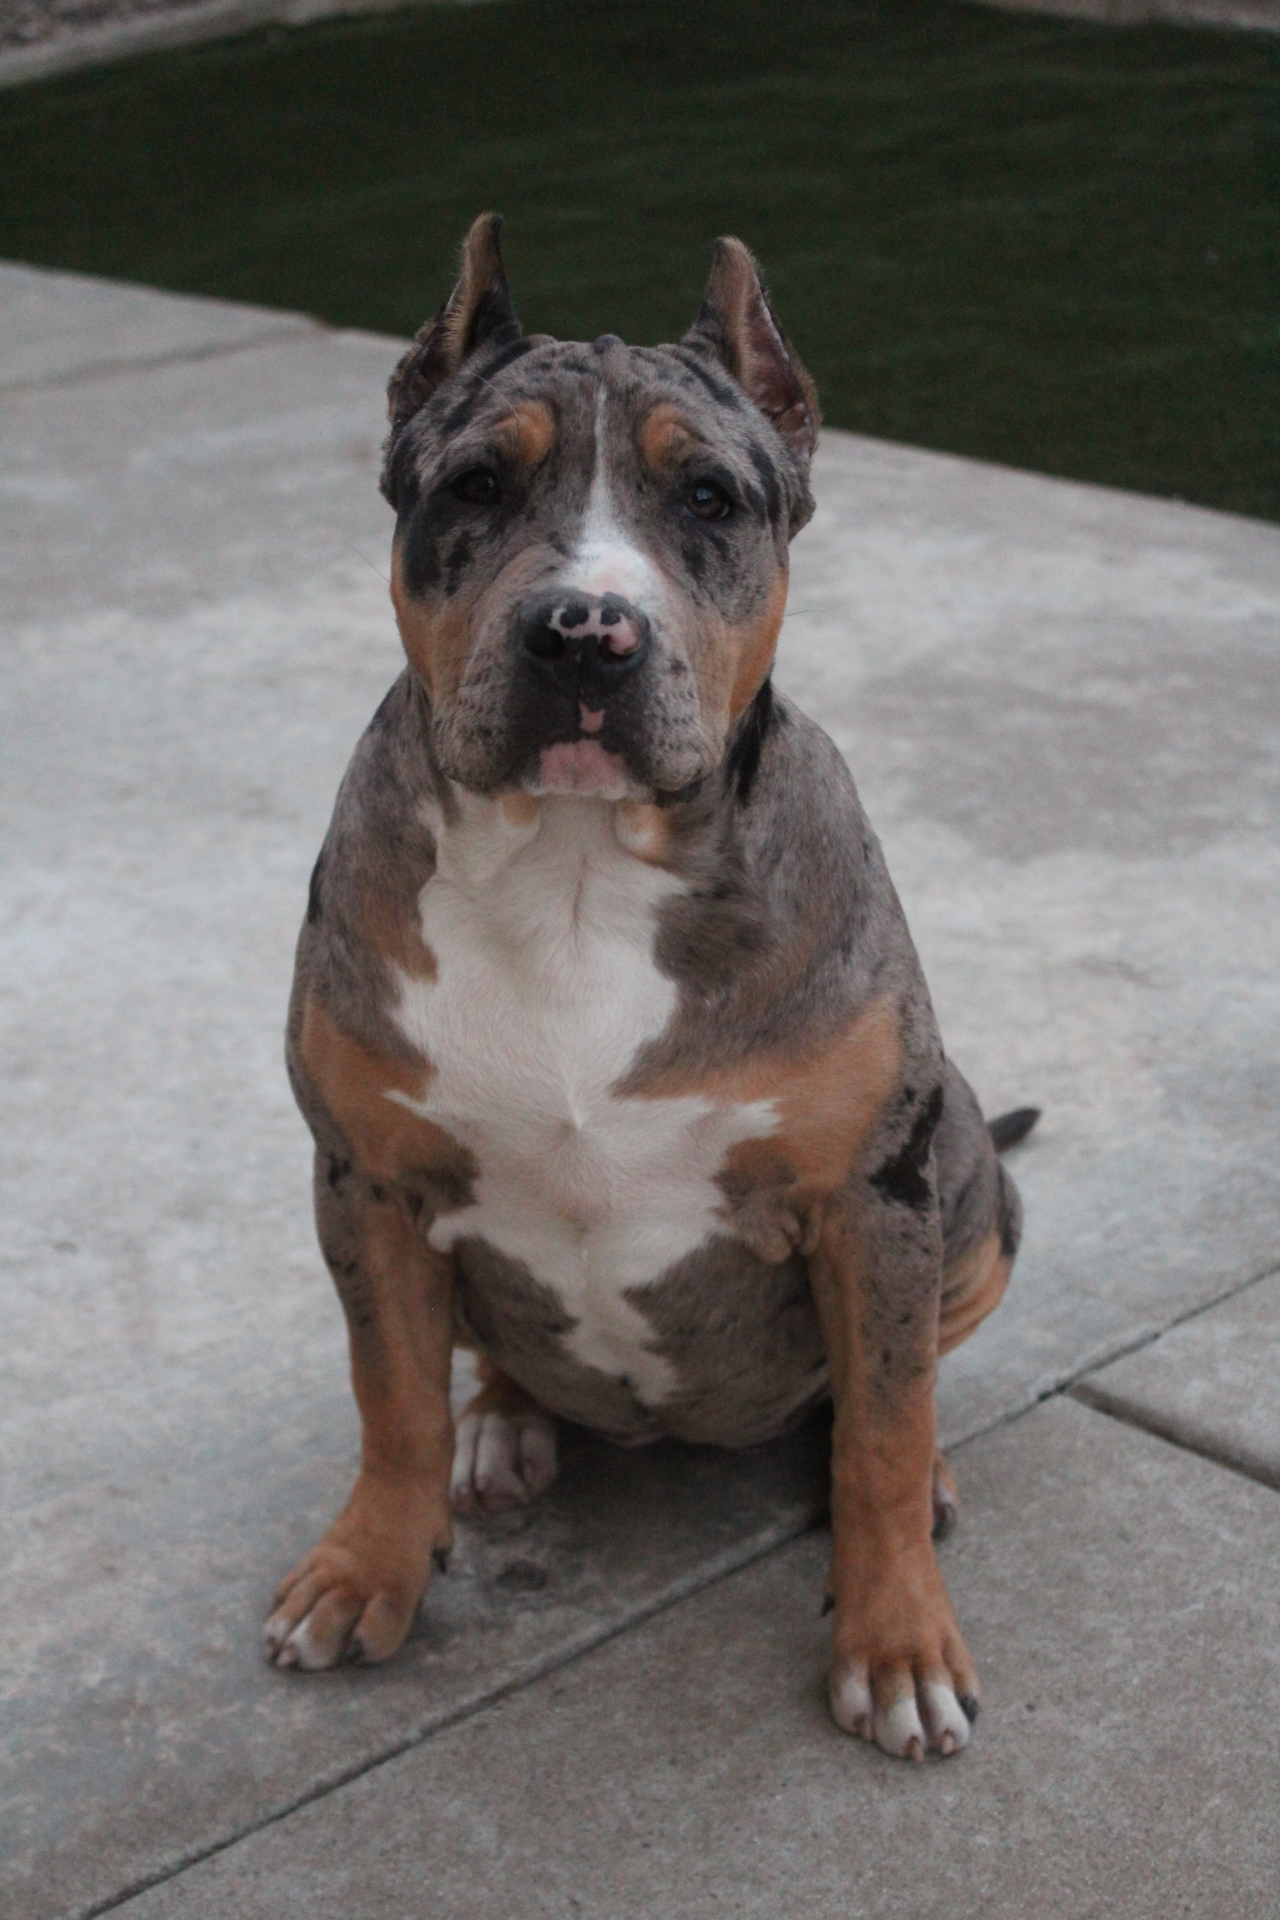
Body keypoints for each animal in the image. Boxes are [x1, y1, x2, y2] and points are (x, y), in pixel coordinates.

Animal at [262, 214, 1035, 1763]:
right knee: (472, 1368)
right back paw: (504, 1421)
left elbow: (881, 1429)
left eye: (711, 497)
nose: (582, 631)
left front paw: (896, 1642)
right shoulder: (364, 1179)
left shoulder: (872, 1196)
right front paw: (368, 1568)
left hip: (974, 1190)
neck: (572, 870)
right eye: (475, 484)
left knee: (899, 1383)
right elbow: (390, 1397)